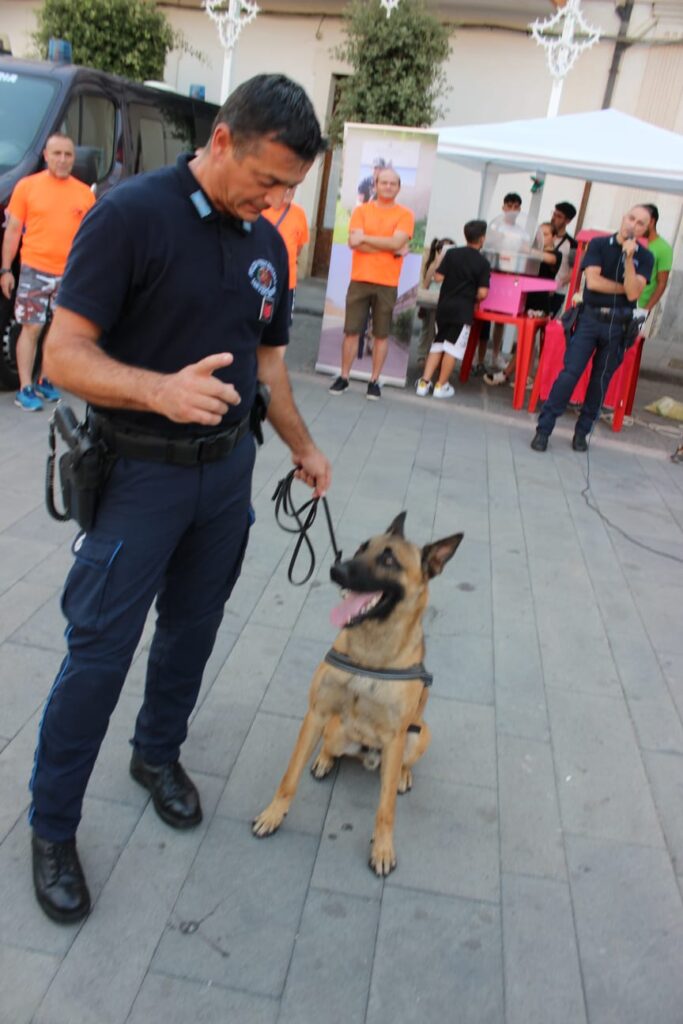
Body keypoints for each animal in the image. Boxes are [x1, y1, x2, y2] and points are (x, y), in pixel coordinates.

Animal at [252, 516, 464, 876]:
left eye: (389, 560)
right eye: (362, 548)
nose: (336, 569)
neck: (371, 654)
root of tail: (369, 754)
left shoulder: (395, 736)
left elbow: (386, 808)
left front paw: (382, 848)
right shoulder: (317, 713)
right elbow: (289, 776)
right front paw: (273, 814)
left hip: (420, 734)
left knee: (403, 762)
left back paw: (403, 775)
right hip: (337, 730)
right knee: (330, 745)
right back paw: (324, 760)